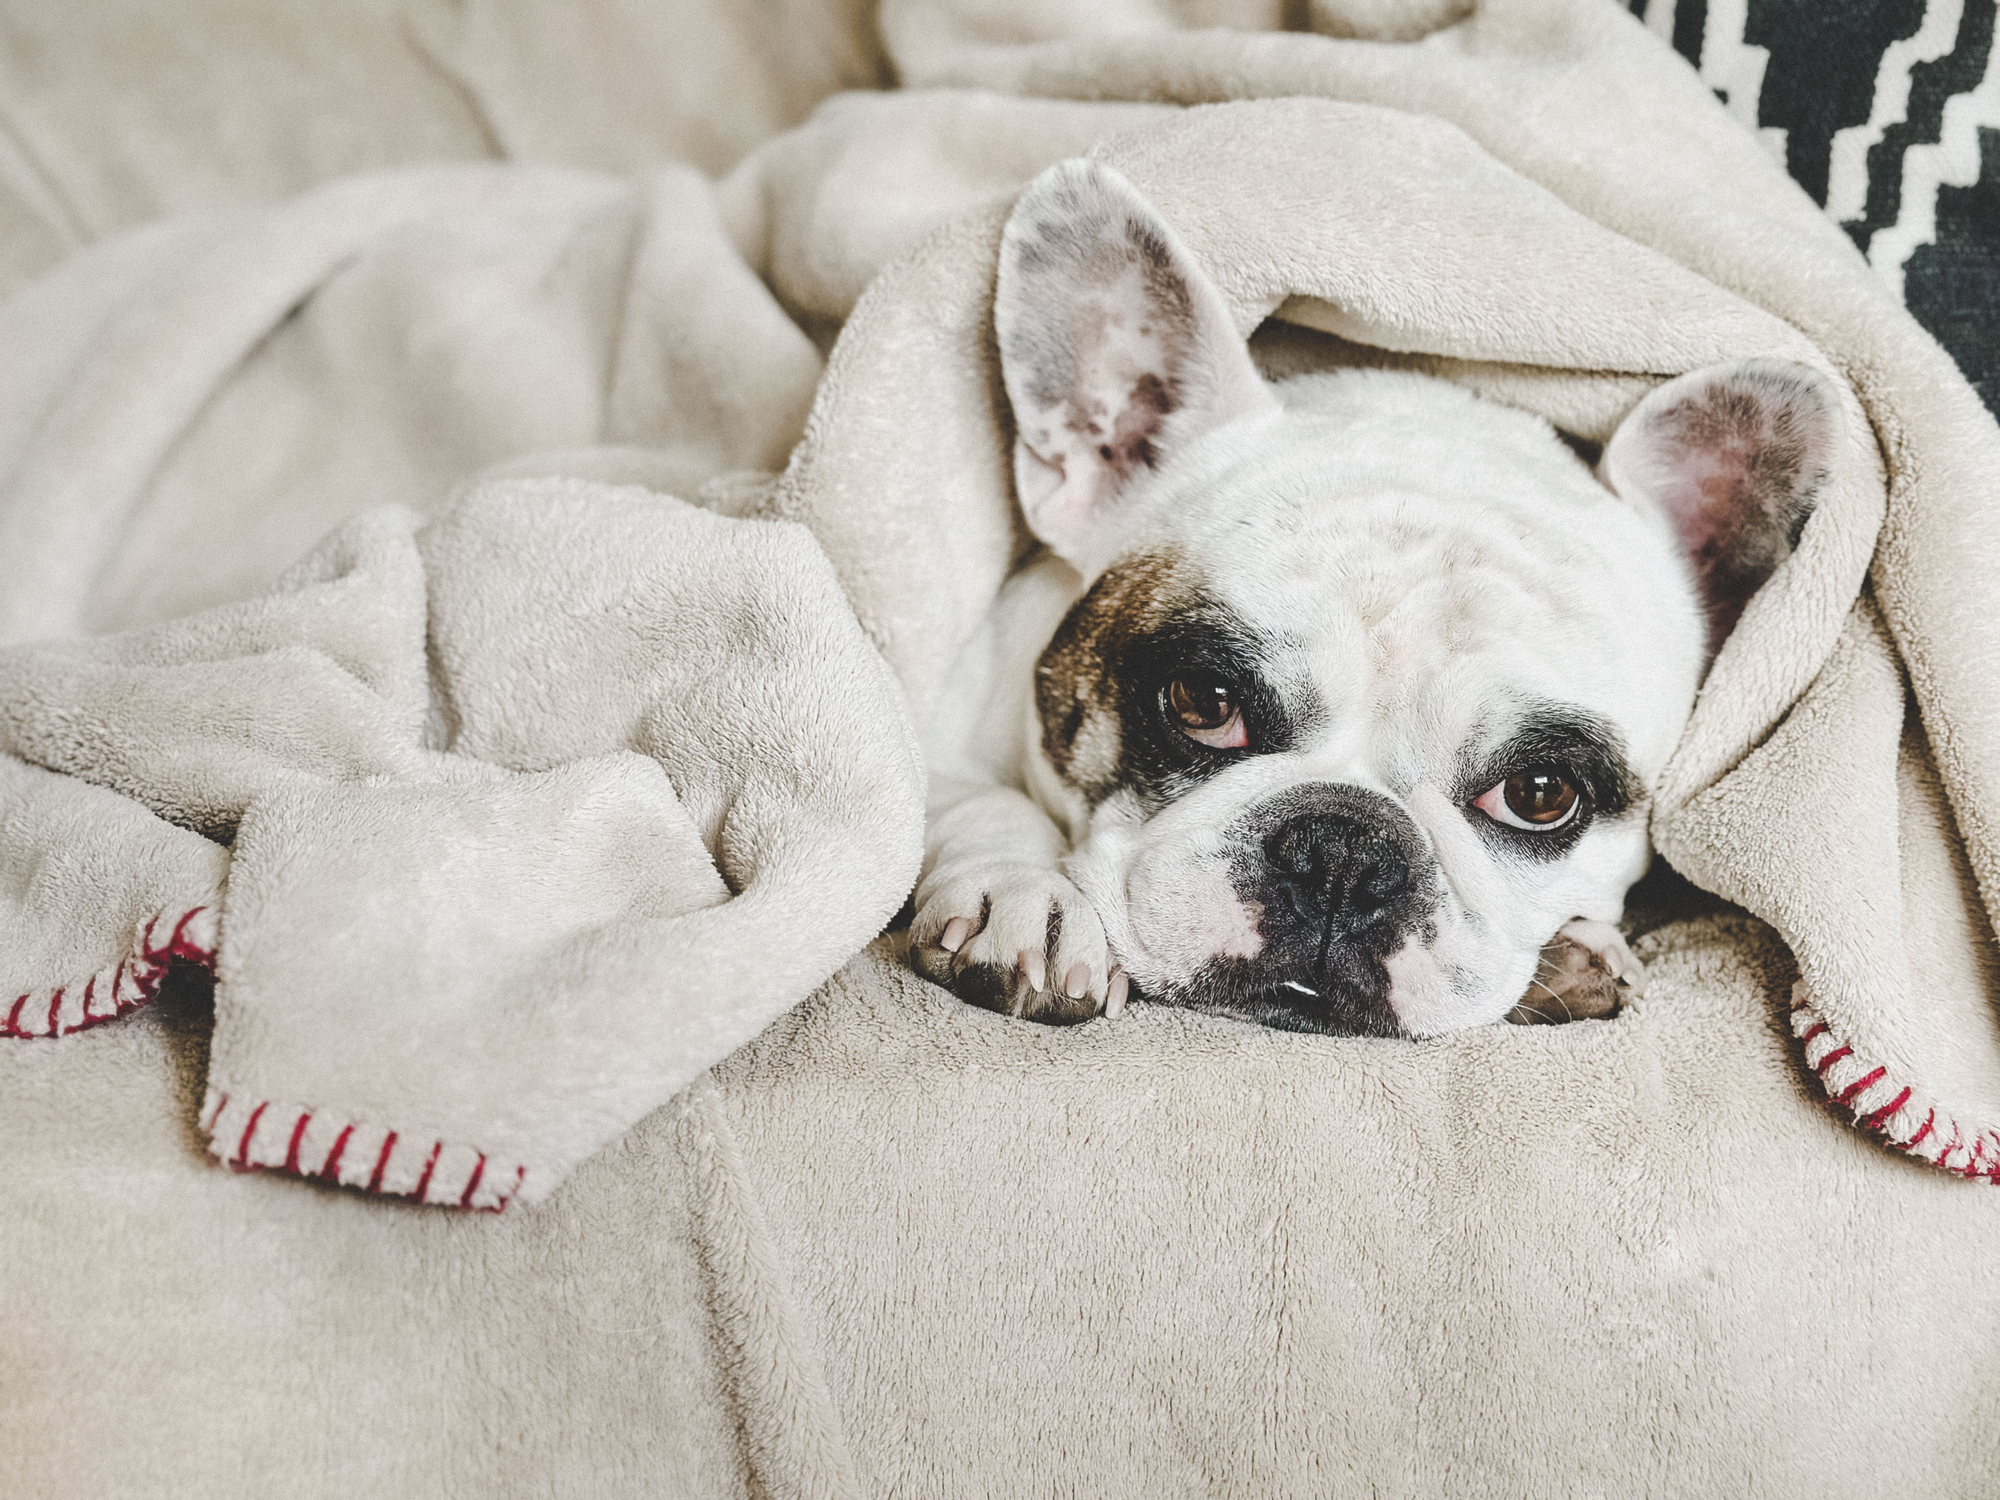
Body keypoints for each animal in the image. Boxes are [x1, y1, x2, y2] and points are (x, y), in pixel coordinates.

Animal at [916, 159, 1832, 1040]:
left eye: (1540, 794)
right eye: (1204, 701)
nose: (1343, 853)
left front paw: (1580, 952)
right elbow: (966, 796)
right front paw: (1028, 894)